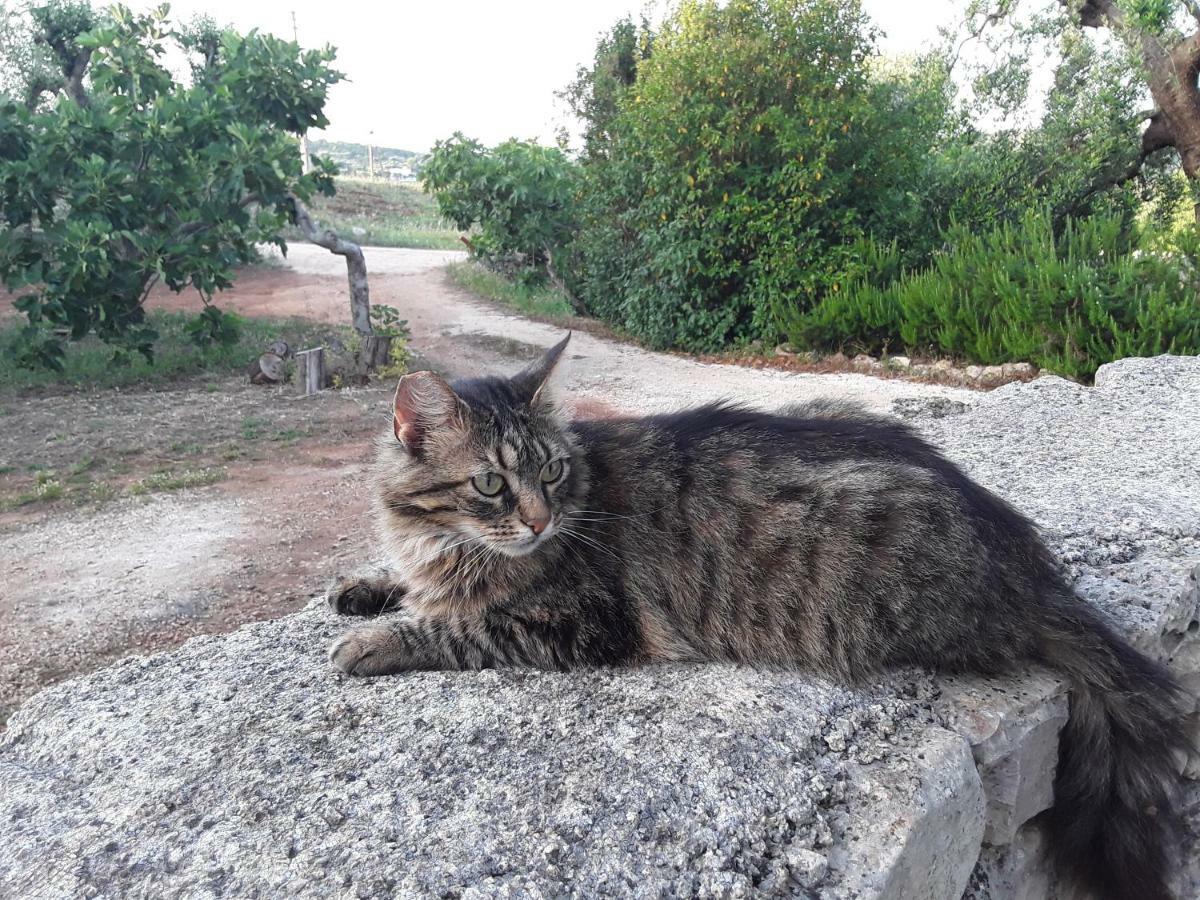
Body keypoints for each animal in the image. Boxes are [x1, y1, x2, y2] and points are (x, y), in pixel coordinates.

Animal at [328, 333, 1190, 900]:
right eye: (491, 485)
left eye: (553, 472)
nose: (541, 520)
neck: (445, 542)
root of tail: (1029, 569)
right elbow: (404, 584)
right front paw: (364, 589)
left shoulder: (576, 621)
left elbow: (456, 625)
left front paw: (372, 641)